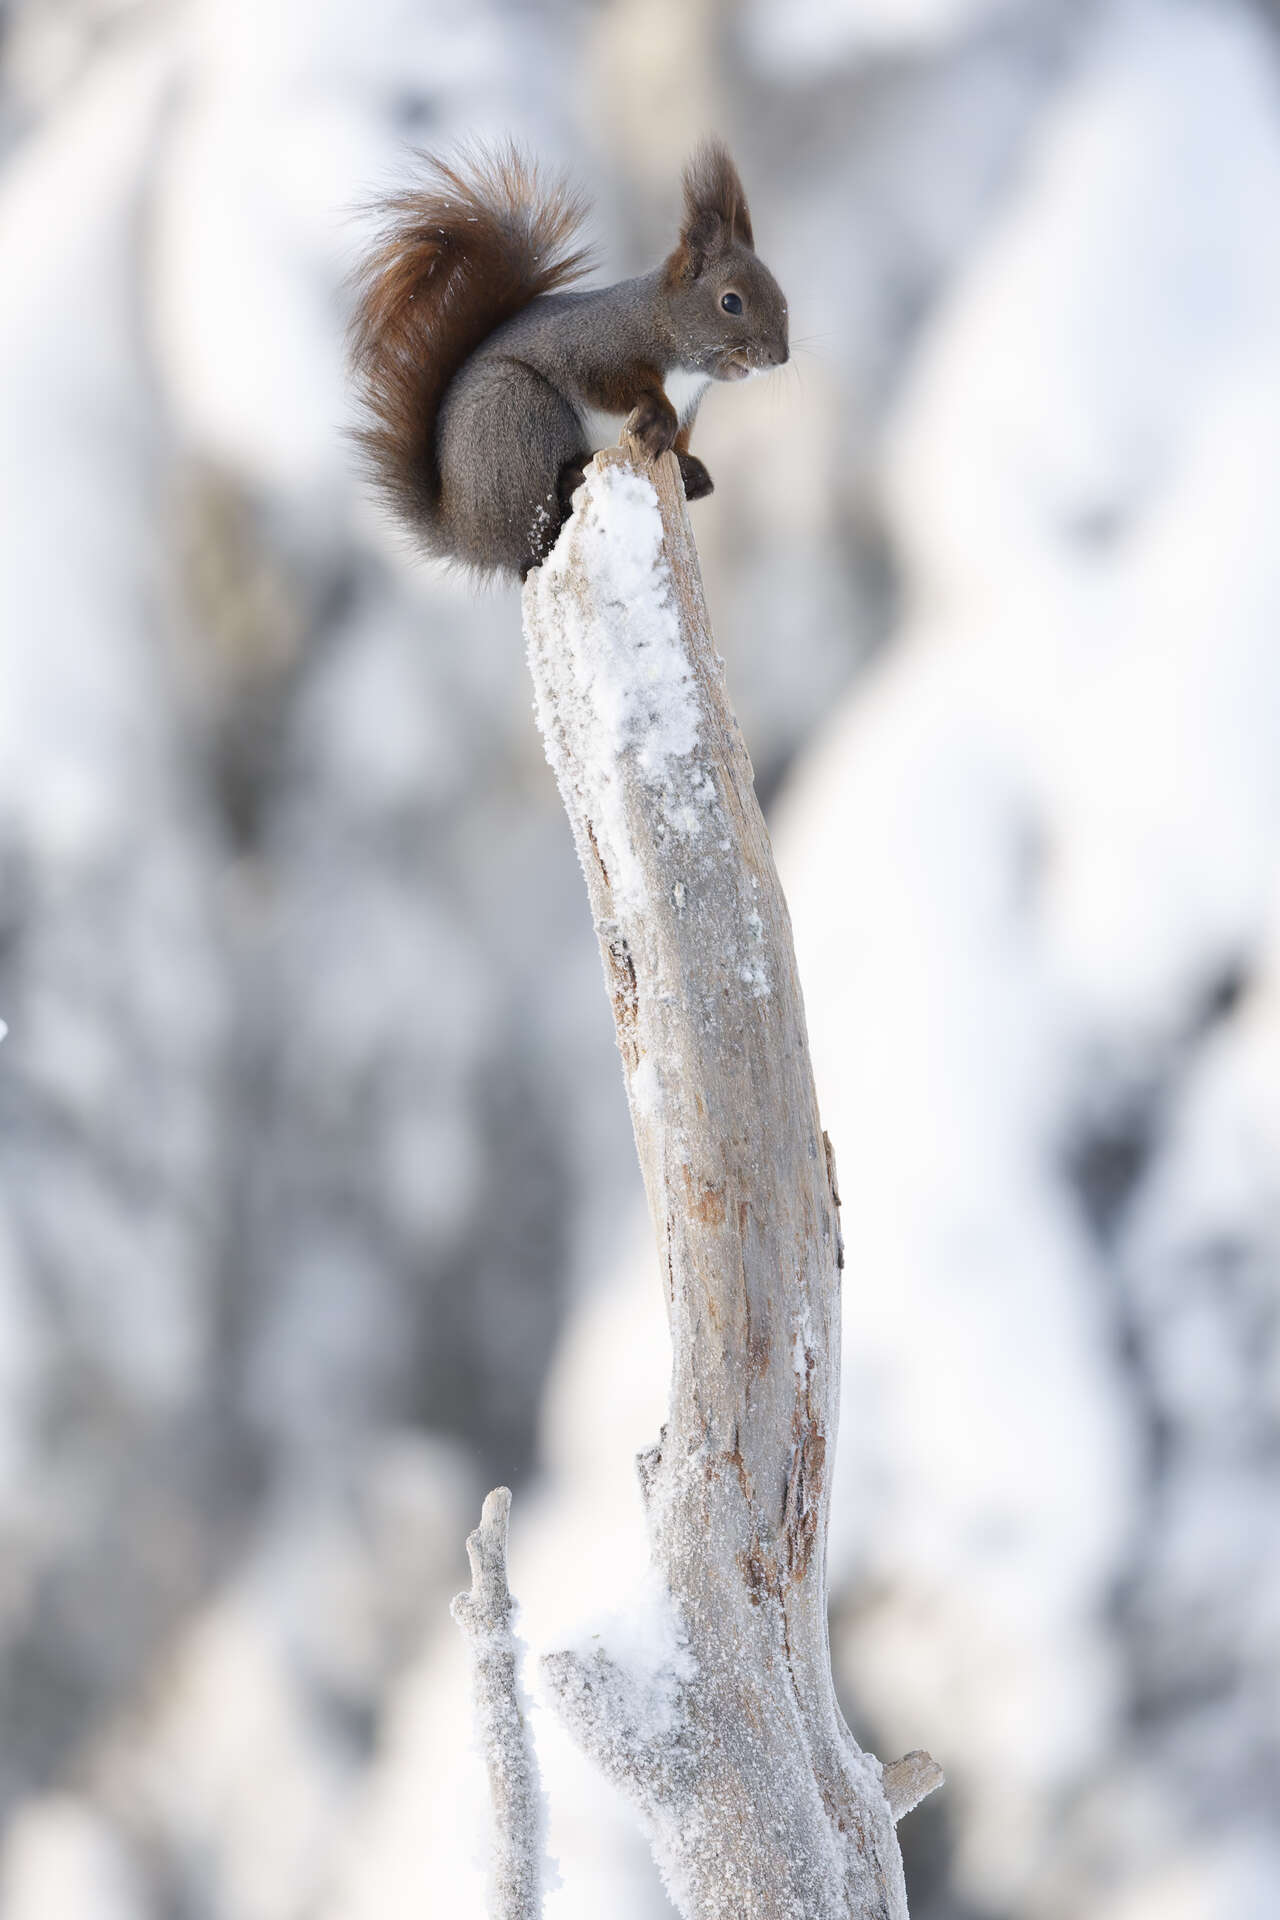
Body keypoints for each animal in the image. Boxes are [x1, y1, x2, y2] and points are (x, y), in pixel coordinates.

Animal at [348, 140, 789, 580]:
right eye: (731, 302)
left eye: (780, 296)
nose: (779, 357)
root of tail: (465, 536)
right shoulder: (593, 347)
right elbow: (609, 384)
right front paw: (658, 415)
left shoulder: (691, 408)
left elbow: (679, 440)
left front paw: (690, 469)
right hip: (518, 413)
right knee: (537, 528)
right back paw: (570, 479)